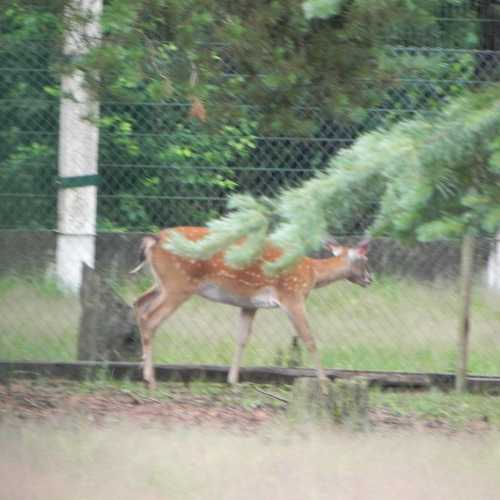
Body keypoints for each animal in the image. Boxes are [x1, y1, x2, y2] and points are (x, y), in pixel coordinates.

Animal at [130, 226, 372, 390]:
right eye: (364, 259)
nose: (370, 278)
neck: (312, 274)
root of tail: (154, 239)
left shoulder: (249, 304)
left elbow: (242, 338)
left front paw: (233, 381)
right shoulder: (292, 297)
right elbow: (309, 339)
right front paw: (324, 382)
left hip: (162, 283)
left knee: (138, 304)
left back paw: (142, 370)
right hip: (178, 284)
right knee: (151, 318)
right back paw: (150, 379)